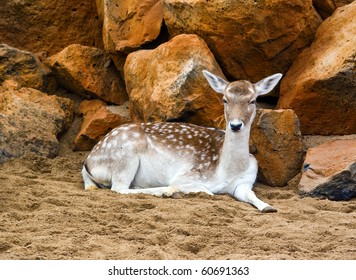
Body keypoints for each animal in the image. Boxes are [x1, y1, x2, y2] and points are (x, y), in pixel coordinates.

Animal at [82, 70, 282, 212]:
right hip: (125, 155)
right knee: (119, 188)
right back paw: (167, 191)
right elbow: (206, 190)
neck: (225, 170)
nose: (235, 125)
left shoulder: (245, 181)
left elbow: (251, 195)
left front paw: (268, 207)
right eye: (225, 99)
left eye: (253, 100)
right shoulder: (186, 175)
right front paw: (178, 190)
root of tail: (89, 161)